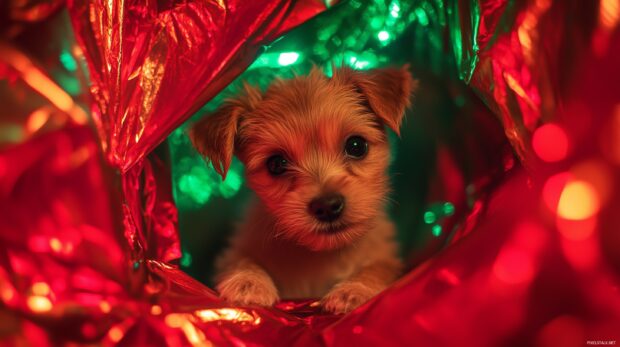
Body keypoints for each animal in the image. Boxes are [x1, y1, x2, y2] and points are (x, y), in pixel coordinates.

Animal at [191, 66, 418, 316]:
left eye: (356, 145)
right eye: (276, 164)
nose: (327, 206)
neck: (322, 255)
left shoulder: (386, 258)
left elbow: (380, 268)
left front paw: (355, 289)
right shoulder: (235, 251)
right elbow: (240, 259)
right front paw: (248, 282)